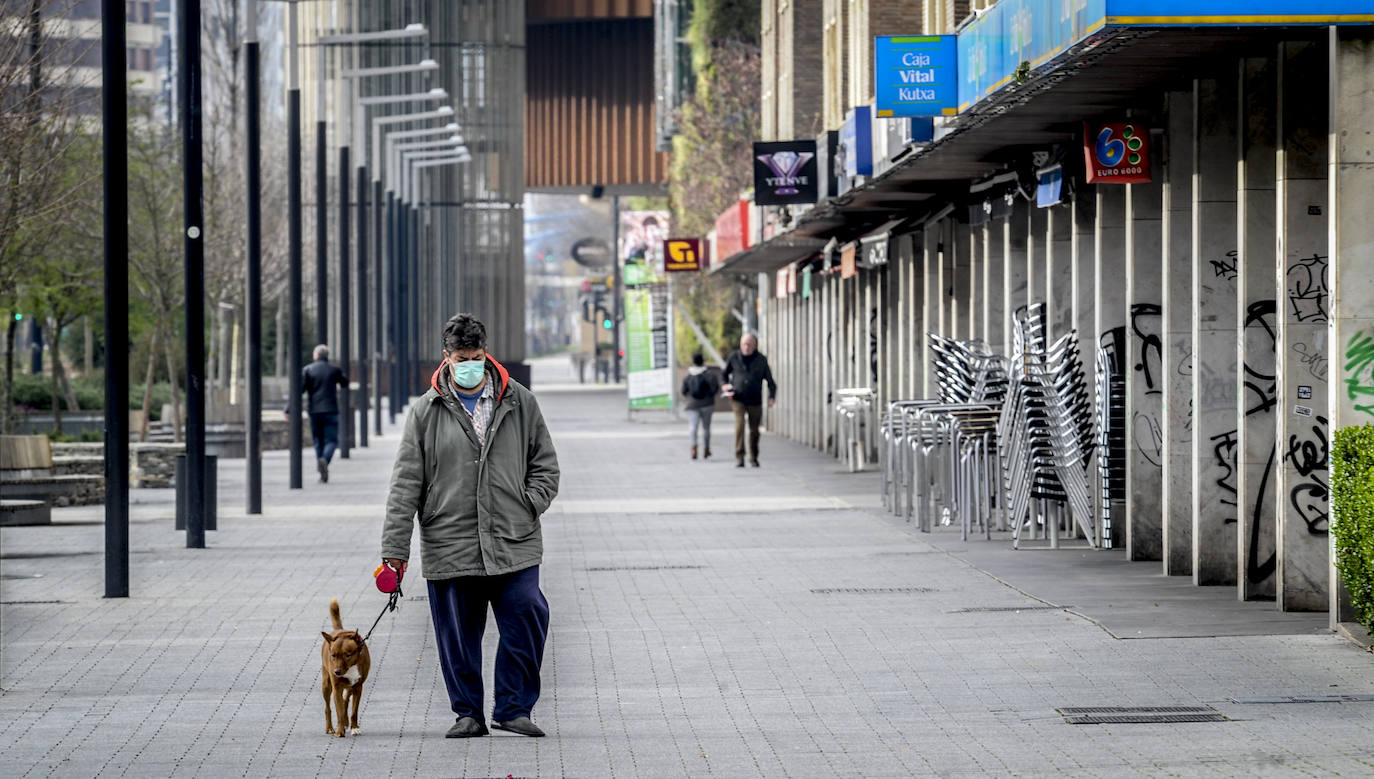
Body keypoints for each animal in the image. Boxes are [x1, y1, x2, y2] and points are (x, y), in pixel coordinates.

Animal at [317, 601, 368, 741]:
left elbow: (354, 711)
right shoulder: (336, 688)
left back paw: (346, 722)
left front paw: (354, 728)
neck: (350, 667)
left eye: (347, 655)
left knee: (346, 700)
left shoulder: (358, 687)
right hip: (326, 684)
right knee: (328, 707)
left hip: (350, 685)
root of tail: (339, 630)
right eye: (333, 655)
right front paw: (339, 731)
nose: (337, 672)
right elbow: (338, 711)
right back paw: (330, 728)